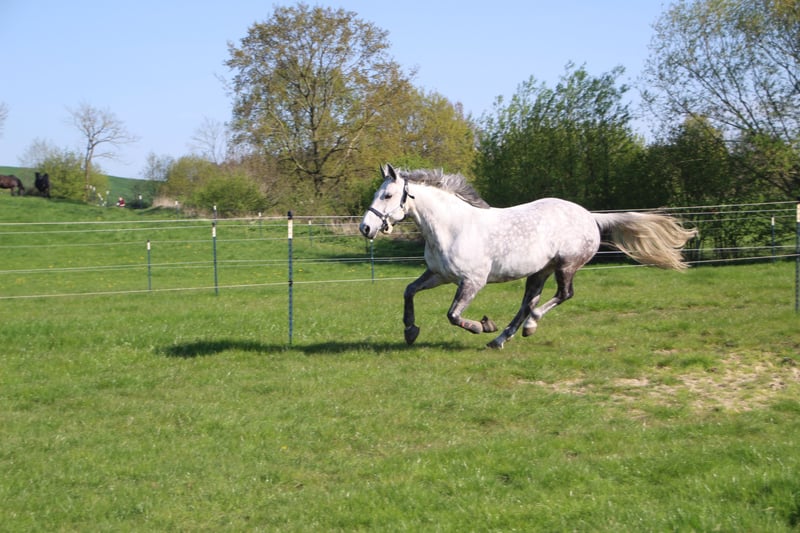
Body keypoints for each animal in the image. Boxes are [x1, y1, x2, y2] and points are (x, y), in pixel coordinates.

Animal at [360, 164, 697, 349]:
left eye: (387, 195)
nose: (366, 227)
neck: (453, 227)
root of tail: (590, 216)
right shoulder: (439, 275)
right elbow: (409, 291)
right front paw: (410, 331)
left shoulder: (472, 281)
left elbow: (453, 315)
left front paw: (482, 325)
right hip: (539, 271)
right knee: (528, 303)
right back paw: (501, 339)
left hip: (565, 265)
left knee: (561, 296)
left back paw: (526, 327)